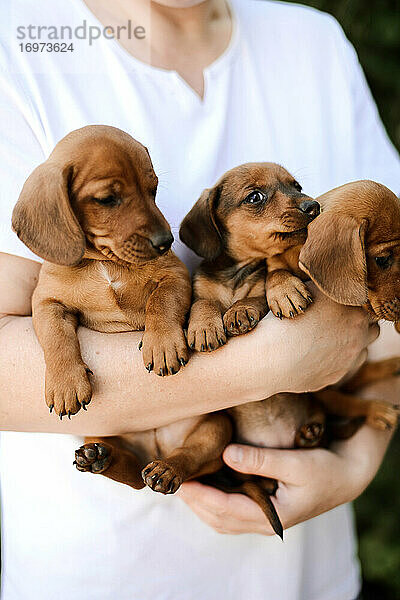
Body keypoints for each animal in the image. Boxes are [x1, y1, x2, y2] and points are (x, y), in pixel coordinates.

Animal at [13, 127, 231, 502]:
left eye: (153, 190)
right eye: (107, 199)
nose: (165, 241)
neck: (104, 261)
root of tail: (156, 444)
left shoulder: (174, 277)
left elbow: (160, 304)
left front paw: (162, 344)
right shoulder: (46, 303)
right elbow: (56, 338)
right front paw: (65, 383)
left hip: (216, 427)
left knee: (185, 460)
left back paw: (165, 470)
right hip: (100, 430)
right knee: (132, 475)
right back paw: (100, 458)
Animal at [180, 166, 400, 536]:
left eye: (297, 186)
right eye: (383, 259)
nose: (310, 205)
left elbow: (259, 291)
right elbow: (258, 280)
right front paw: (280, 292)